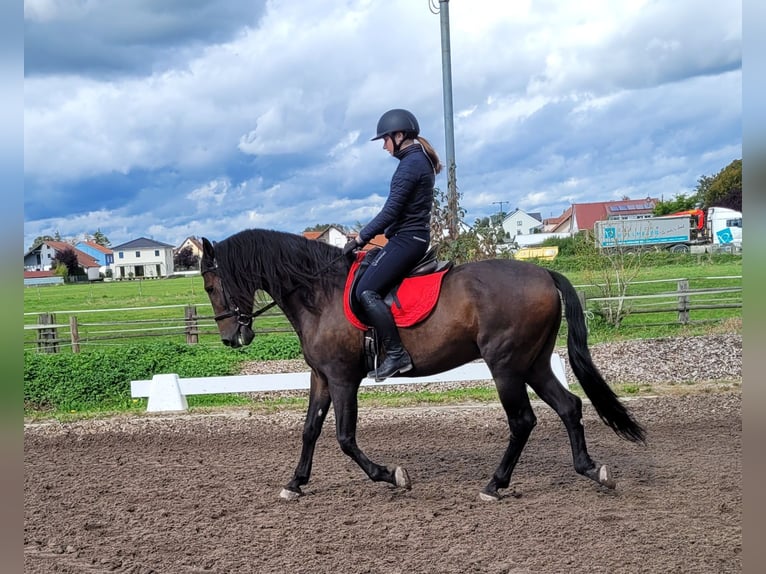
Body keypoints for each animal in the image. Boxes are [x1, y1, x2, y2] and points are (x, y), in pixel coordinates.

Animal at [201, 230, 644, 504]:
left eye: (210, 284)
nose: (231, 339)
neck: (319, 294)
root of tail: (544, 273)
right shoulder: (321, 377)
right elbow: (309, 430)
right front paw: (295, 483)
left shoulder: (343, 379)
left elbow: (344, 437)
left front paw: (391, 476)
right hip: (532, 364)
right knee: (569, 407)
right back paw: (591, 470)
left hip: (506, 366)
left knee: (523, 421)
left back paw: (494, 485)